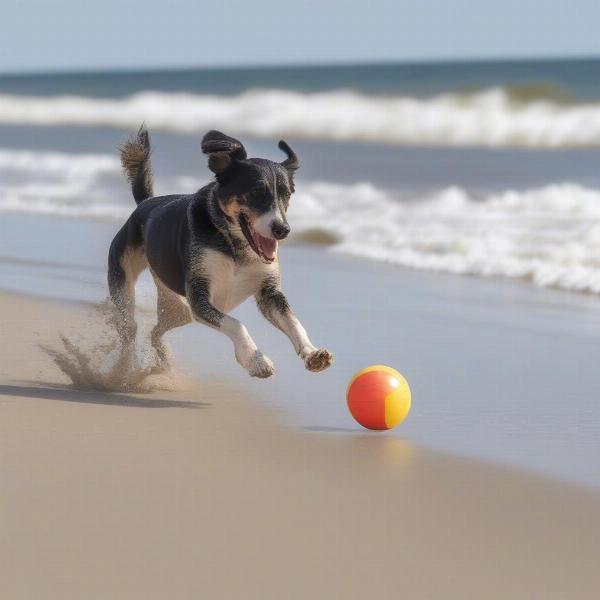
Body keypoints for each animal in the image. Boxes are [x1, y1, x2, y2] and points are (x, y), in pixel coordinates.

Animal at [108, 126, 332, 378]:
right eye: (257, 192)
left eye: (288, 194)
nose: (283, 230)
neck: (235, 246)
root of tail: (145, 204)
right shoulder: (200, 298)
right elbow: (236, 324)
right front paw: (255, 360)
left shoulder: (269, 292)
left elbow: (293, 321)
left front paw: (312, 353)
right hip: (124, 281)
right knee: (129, 328)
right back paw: (125, 367)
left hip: (179, 310)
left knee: (155, 332)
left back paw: (162, 358)